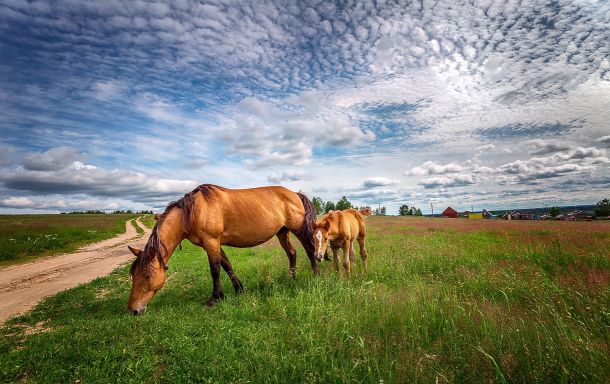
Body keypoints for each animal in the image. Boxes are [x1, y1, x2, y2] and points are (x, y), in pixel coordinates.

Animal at [128, 184, 318, 316]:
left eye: (148, 276)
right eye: (133, 276)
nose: (133, 310)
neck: (193, 212)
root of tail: (295, 194)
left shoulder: (211, 241)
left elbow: (215, 269)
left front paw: (215, 298)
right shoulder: (213, 244)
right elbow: (227, 266)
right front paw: (239, 289)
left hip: (299, 230)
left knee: (310, 251)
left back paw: (315, 277)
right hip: (283, 232)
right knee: (292, 253)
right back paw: (291, 278)